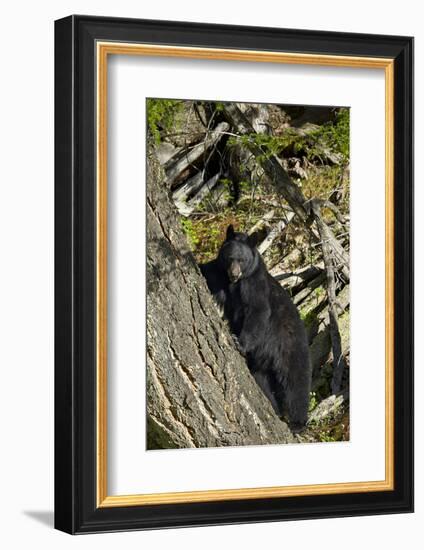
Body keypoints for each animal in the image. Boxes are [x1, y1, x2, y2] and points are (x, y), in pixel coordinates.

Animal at [199, 224, 312, 432]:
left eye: (242, 260)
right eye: (230, 258)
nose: (234, 273)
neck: (235, 283)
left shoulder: (254, 285)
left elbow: (258, 311)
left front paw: (239, 342)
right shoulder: (219, 275)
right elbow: (207, 273)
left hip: (291, 347)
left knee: (296, 382)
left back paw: (297, 422)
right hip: (261, 365)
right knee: (264, 382)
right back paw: (275, 409)